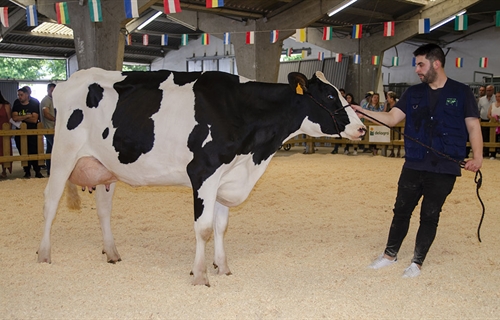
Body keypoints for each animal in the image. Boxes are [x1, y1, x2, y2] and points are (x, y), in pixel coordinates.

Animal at [37, 67, 366, 284]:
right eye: (329, 95)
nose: (362, 128)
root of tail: (71, 80)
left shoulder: (226, 177)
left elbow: (221, 227)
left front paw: (223, 267)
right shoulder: (203, 173)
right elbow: (204, 228)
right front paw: (199, 275)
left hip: (105, 167)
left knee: (104, 210)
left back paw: (112, 252)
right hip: (63, 154)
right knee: (50, 202)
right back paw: (43, 255)